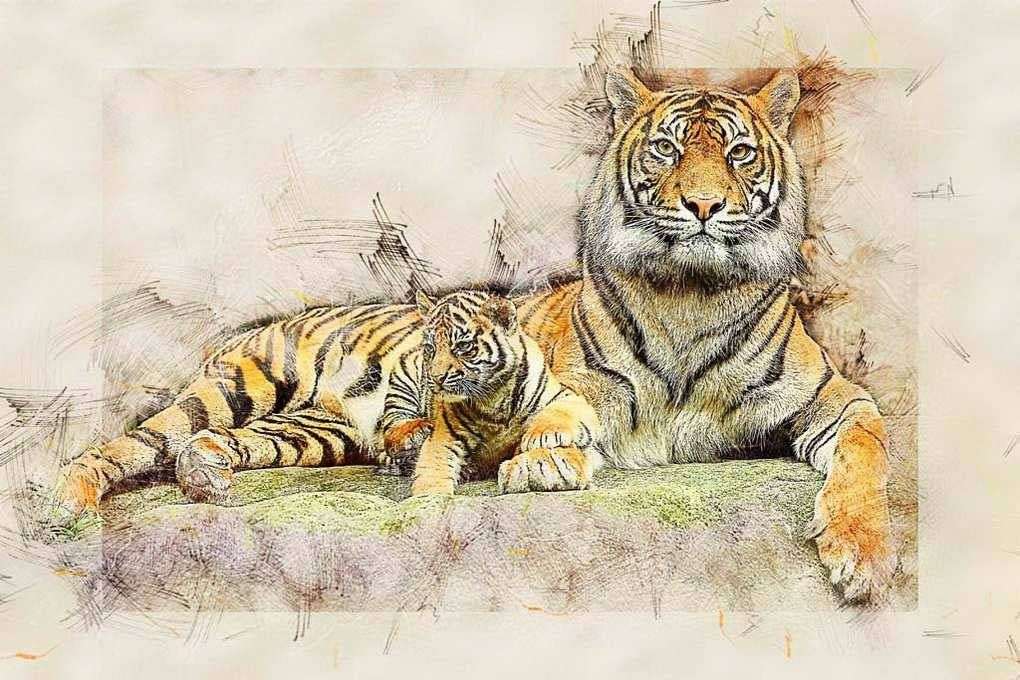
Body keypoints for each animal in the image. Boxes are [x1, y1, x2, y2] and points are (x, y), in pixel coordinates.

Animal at [52, 69, 893, 603]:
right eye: (667, 149)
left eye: (739, 153)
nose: (706, 207)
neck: (690, 294)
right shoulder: (573, 392)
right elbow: (562, 424)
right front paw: (545, 461)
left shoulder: (837, 402)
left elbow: (865, 454)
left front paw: (862, 558)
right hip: (235, 387)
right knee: (130, 445)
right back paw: (63, 506)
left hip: (308, 432)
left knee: (216, 447)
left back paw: (212, 476)